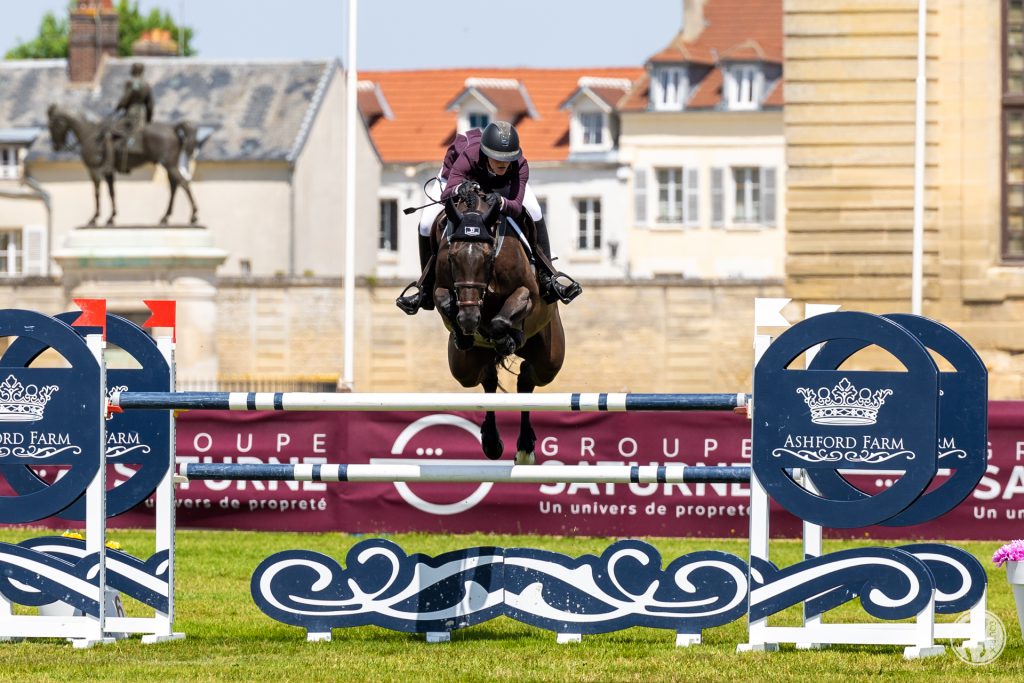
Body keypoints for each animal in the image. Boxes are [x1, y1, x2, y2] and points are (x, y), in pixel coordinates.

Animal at [46, 104, 199, 225]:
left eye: (52, 125)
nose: (55, 146)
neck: (88, 134)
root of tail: (173, 128)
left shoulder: (94, 171)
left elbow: (97, 193)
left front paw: (94, 218)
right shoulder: (108, 173)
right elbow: (111, 192)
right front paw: (111, 218)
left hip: (169, 164)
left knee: (183, 183)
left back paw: (193, 216)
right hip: (169, 165)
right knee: (175, 186)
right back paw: (166, 217)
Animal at [428, 188, 565, 464]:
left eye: (488, 255)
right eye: (452, 257)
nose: (469, 319)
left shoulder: (528, 294)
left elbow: (504, 319)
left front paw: (507, 337)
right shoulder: (442, 288)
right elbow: (444, 300)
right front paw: (465, 332)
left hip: (549, 360)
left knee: (527, 379)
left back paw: (525, 449)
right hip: (464, 369)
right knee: (488, 378)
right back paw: (493, 443)